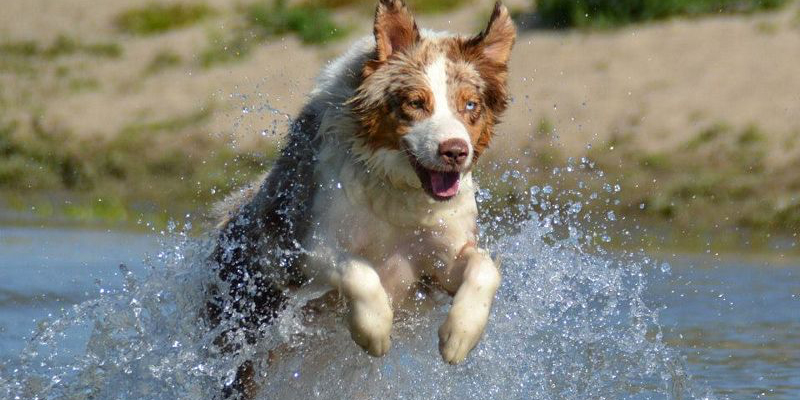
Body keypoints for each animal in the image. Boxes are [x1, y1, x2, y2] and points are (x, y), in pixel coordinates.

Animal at [206, 0, 516, 394]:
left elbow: (484, 268)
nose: (455, 151)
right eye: (416, 103)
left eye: (471, 105)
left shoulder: (441, 261)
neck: (398, 193)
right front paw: (375, 331)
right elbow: (358, 270)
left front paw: (459, 335)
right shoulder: (304, 250)